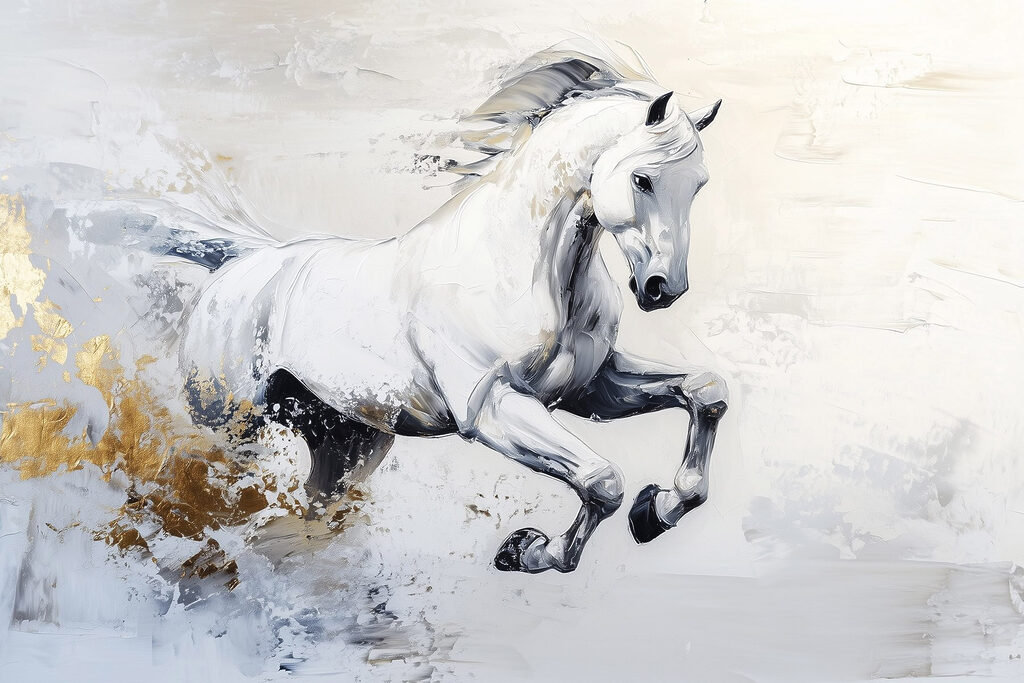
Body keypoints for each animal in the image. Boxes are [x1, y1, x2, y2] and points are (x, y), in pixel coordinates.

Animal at [175, 42, 728, 574]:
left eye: (700, 184)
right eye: (643, 180)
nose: (663, 288)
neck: (521, 272)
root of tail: (235, 265)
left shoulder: (592, 389)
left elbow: (706, 392)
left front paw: (657, 509)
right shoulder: (490, 407)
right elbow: (602, 479)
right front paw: (528, 551)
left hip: (346, 441)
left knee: (317, 507)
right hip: (229, 426)